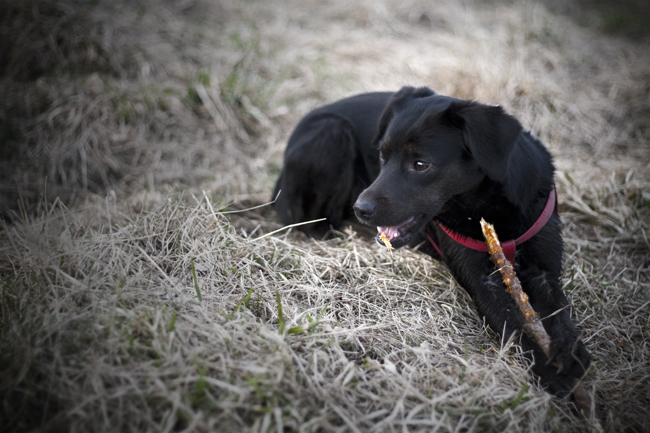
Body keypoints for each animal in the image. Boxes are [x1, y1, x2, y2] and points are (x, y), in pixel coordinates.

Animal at [270, 85, 588, 394]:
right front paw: (548, 371)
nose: (361, 209)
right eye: (382, 155)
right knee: (314, 225)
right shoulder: (482, 282)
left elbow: (559, 309)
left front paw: (569, 350)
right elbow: (516, 329)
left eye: (421, 164)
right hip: (332, 131)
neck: (490, 208)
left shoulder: (545, 269)